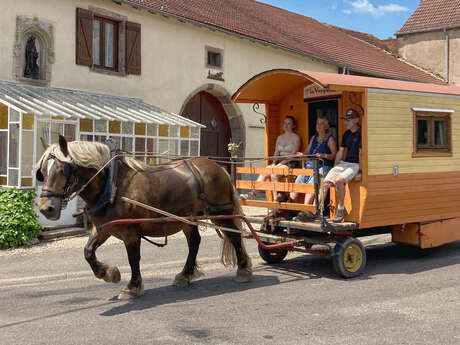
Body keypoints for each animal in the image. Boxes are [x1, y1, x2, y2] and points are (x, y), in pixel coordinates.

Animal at [36, 134, 252, 298]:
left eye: (63, 169)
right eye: (42, 172)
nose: (46, 209)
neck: (111, 185)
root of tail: (219, 167)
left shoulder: (130, 232)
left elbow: (133, 258)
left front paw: (132, 286)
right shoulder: (104, 228)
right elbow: (88, 252)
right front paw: (109, 273)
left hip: (220, 212)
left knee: (234, 236)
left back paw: (243, 269)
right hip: (187, 218)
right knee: (195, 242)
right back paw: (185, 275)